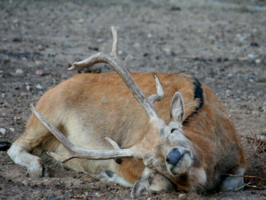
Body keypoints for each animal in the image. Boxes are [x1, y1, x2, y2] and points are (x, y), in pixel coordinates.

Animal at [7, 25, 246, 198]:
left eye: (171, 130)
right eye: (149, 161)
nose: (173, 155)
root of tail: (53, 89)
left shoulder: (241, 160)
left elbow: (235, 182)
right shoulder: (126, 162)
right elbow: (162, 184)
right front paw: (107, 174)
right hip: (44, 116)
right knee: (14, 146)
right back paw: (37, 168)